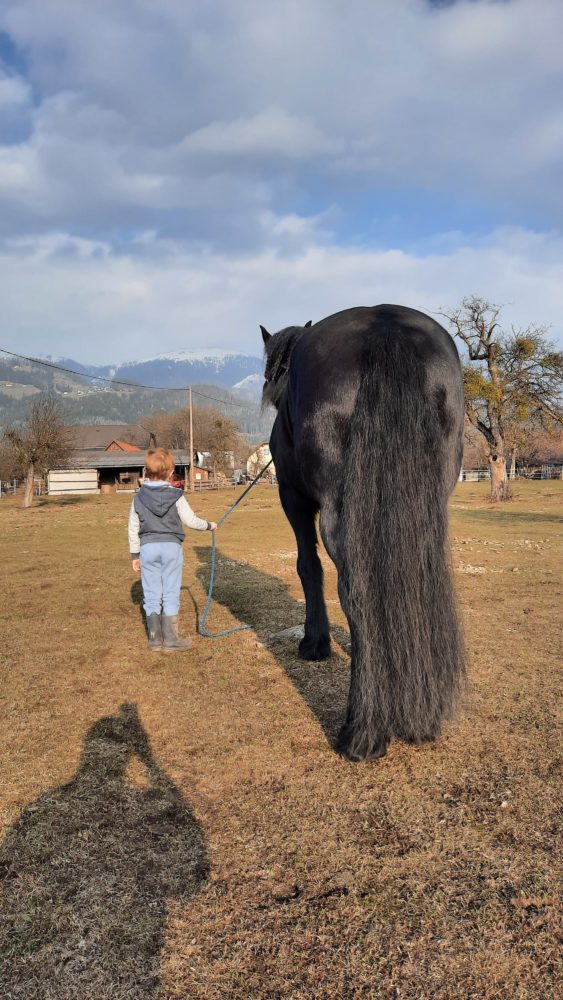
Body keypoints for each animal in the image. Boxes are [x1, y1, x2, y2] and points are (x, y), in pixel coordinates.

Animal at [262, 302, 464, 756]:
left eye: (272, 371)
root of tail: (386, 325)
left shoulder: (292, 498)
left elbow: (308, 567)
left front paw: (314, 643)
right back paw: (420, 718)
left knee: (356, 593)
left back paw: (363, 731)